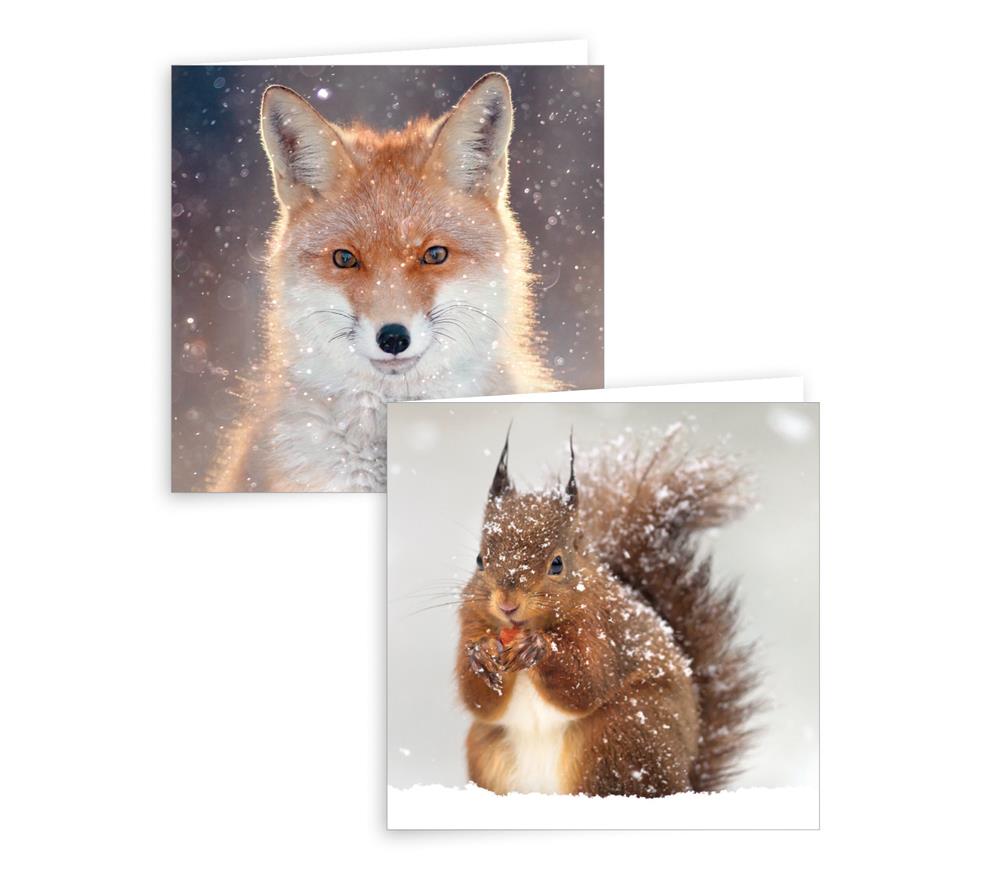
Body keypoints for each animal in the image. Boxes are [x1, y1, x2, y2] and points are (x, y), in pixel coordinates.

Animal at [456, 426, 760, 796]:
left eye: (557, 563)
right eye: (479, 560)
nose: (507, 603)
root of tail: (686, 780)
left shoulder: (603, 627)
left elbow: (587, 680)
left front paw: (538, 647)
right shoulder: (470, 621)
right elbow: (478, 700)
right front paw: (481, 654)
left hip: (620, 734)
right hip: (488, 750)